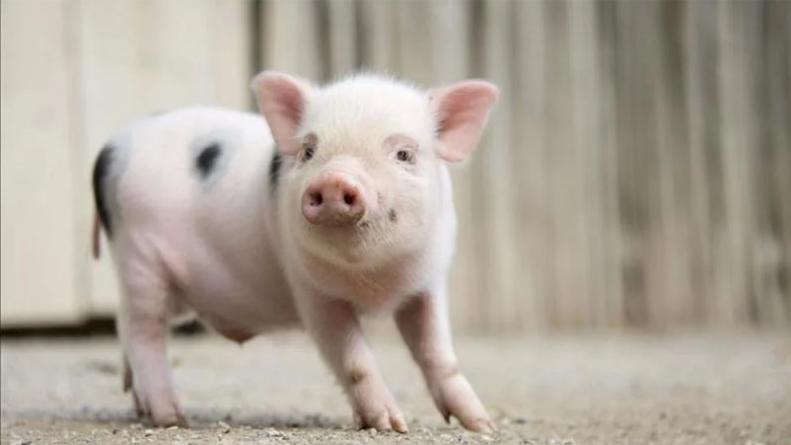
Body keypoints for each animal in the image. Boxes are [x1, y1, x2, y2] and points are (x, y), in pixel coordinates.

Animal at [91, 71, 499, 433]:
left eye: (403, 153)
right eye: (309, 151)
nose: (333, 179)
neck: (372, 279)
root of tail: (109, 149)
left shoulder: (427, 282)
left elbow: (438, 353)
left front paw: (481, 424)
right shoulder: (312, 290)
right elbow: (354, 360)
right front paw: (390, 425)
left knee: (128, 322)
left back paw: (140, 403)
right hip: (139, 257)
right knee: (141, 328)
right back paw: (171, 418)